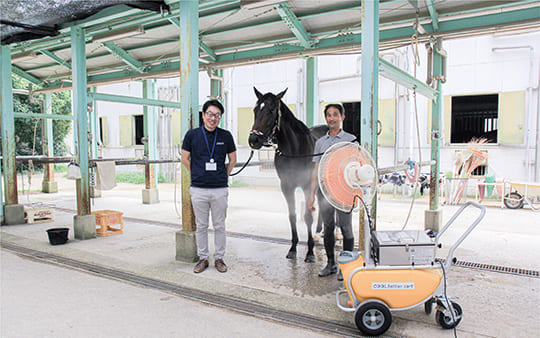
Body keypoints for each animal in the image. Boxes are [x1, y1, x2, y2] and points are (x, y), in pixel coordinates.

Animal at [247, 88, 326, 262]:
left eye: (271, 111)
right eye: (255, 110)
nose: (254, 139)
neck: (295, 149)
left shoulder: (306, 185)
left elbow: (308, 216)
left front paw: (310, 252)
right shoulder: (287, 186)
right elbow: (292, 215)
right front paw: (293, 248)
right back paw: (318, 232)